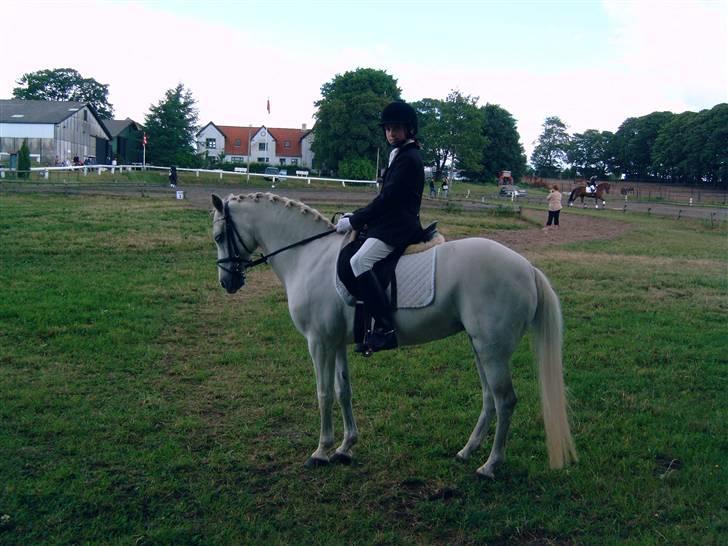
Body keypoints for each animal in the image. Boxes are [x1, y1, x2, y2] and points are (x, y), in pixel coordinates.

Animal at [209, 192, 576, 476]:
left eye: (217, 237)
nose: (227, 282)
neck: (309, 257)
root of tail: (527, 268)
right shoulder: (336, 342)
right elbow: (343, 391)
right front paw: (345, 447)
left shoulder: (319, 342)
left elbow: (323, 393)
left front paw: (321, 452)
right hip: (481, 347)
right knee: (490, 398)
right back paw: (467, 452)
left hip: (492, 349)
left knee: (505, 400)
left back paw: (490, 465)